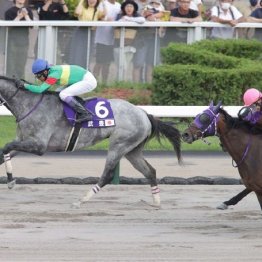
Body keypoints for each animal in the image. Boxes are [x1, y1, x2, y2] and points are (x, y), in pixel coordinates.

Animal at [0, 75, 181, 207]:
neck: (29, 104)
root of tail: (144, 114)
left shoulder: (38, 145)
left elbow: (6, 147)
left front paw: (10, 182)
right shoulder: (24, 140)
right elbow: (4, 153)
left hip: (119, 144)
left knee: (108, 175)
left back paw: (82, 200)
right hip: (132, 149)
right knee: (150, 171)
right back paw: (156, 202)